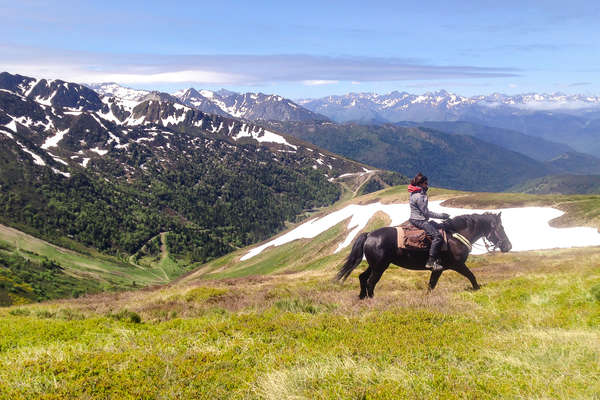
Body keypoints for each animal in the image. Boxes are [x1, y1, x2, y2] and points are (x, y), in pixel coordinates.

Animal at [336, 212, 512, 296]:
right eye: (501, 228)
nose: (508, 246)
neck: (455, 236)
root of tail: (369, 234)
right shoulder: (456, 265)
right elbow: (471, 276)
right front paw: (477, 289)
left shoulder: (439, 269)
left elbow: (431, 285)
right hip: (380, 267)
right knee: (371, 282)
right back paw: (372, 299)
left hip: (375, 265)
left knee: (362, 278)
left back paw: (362, 297)